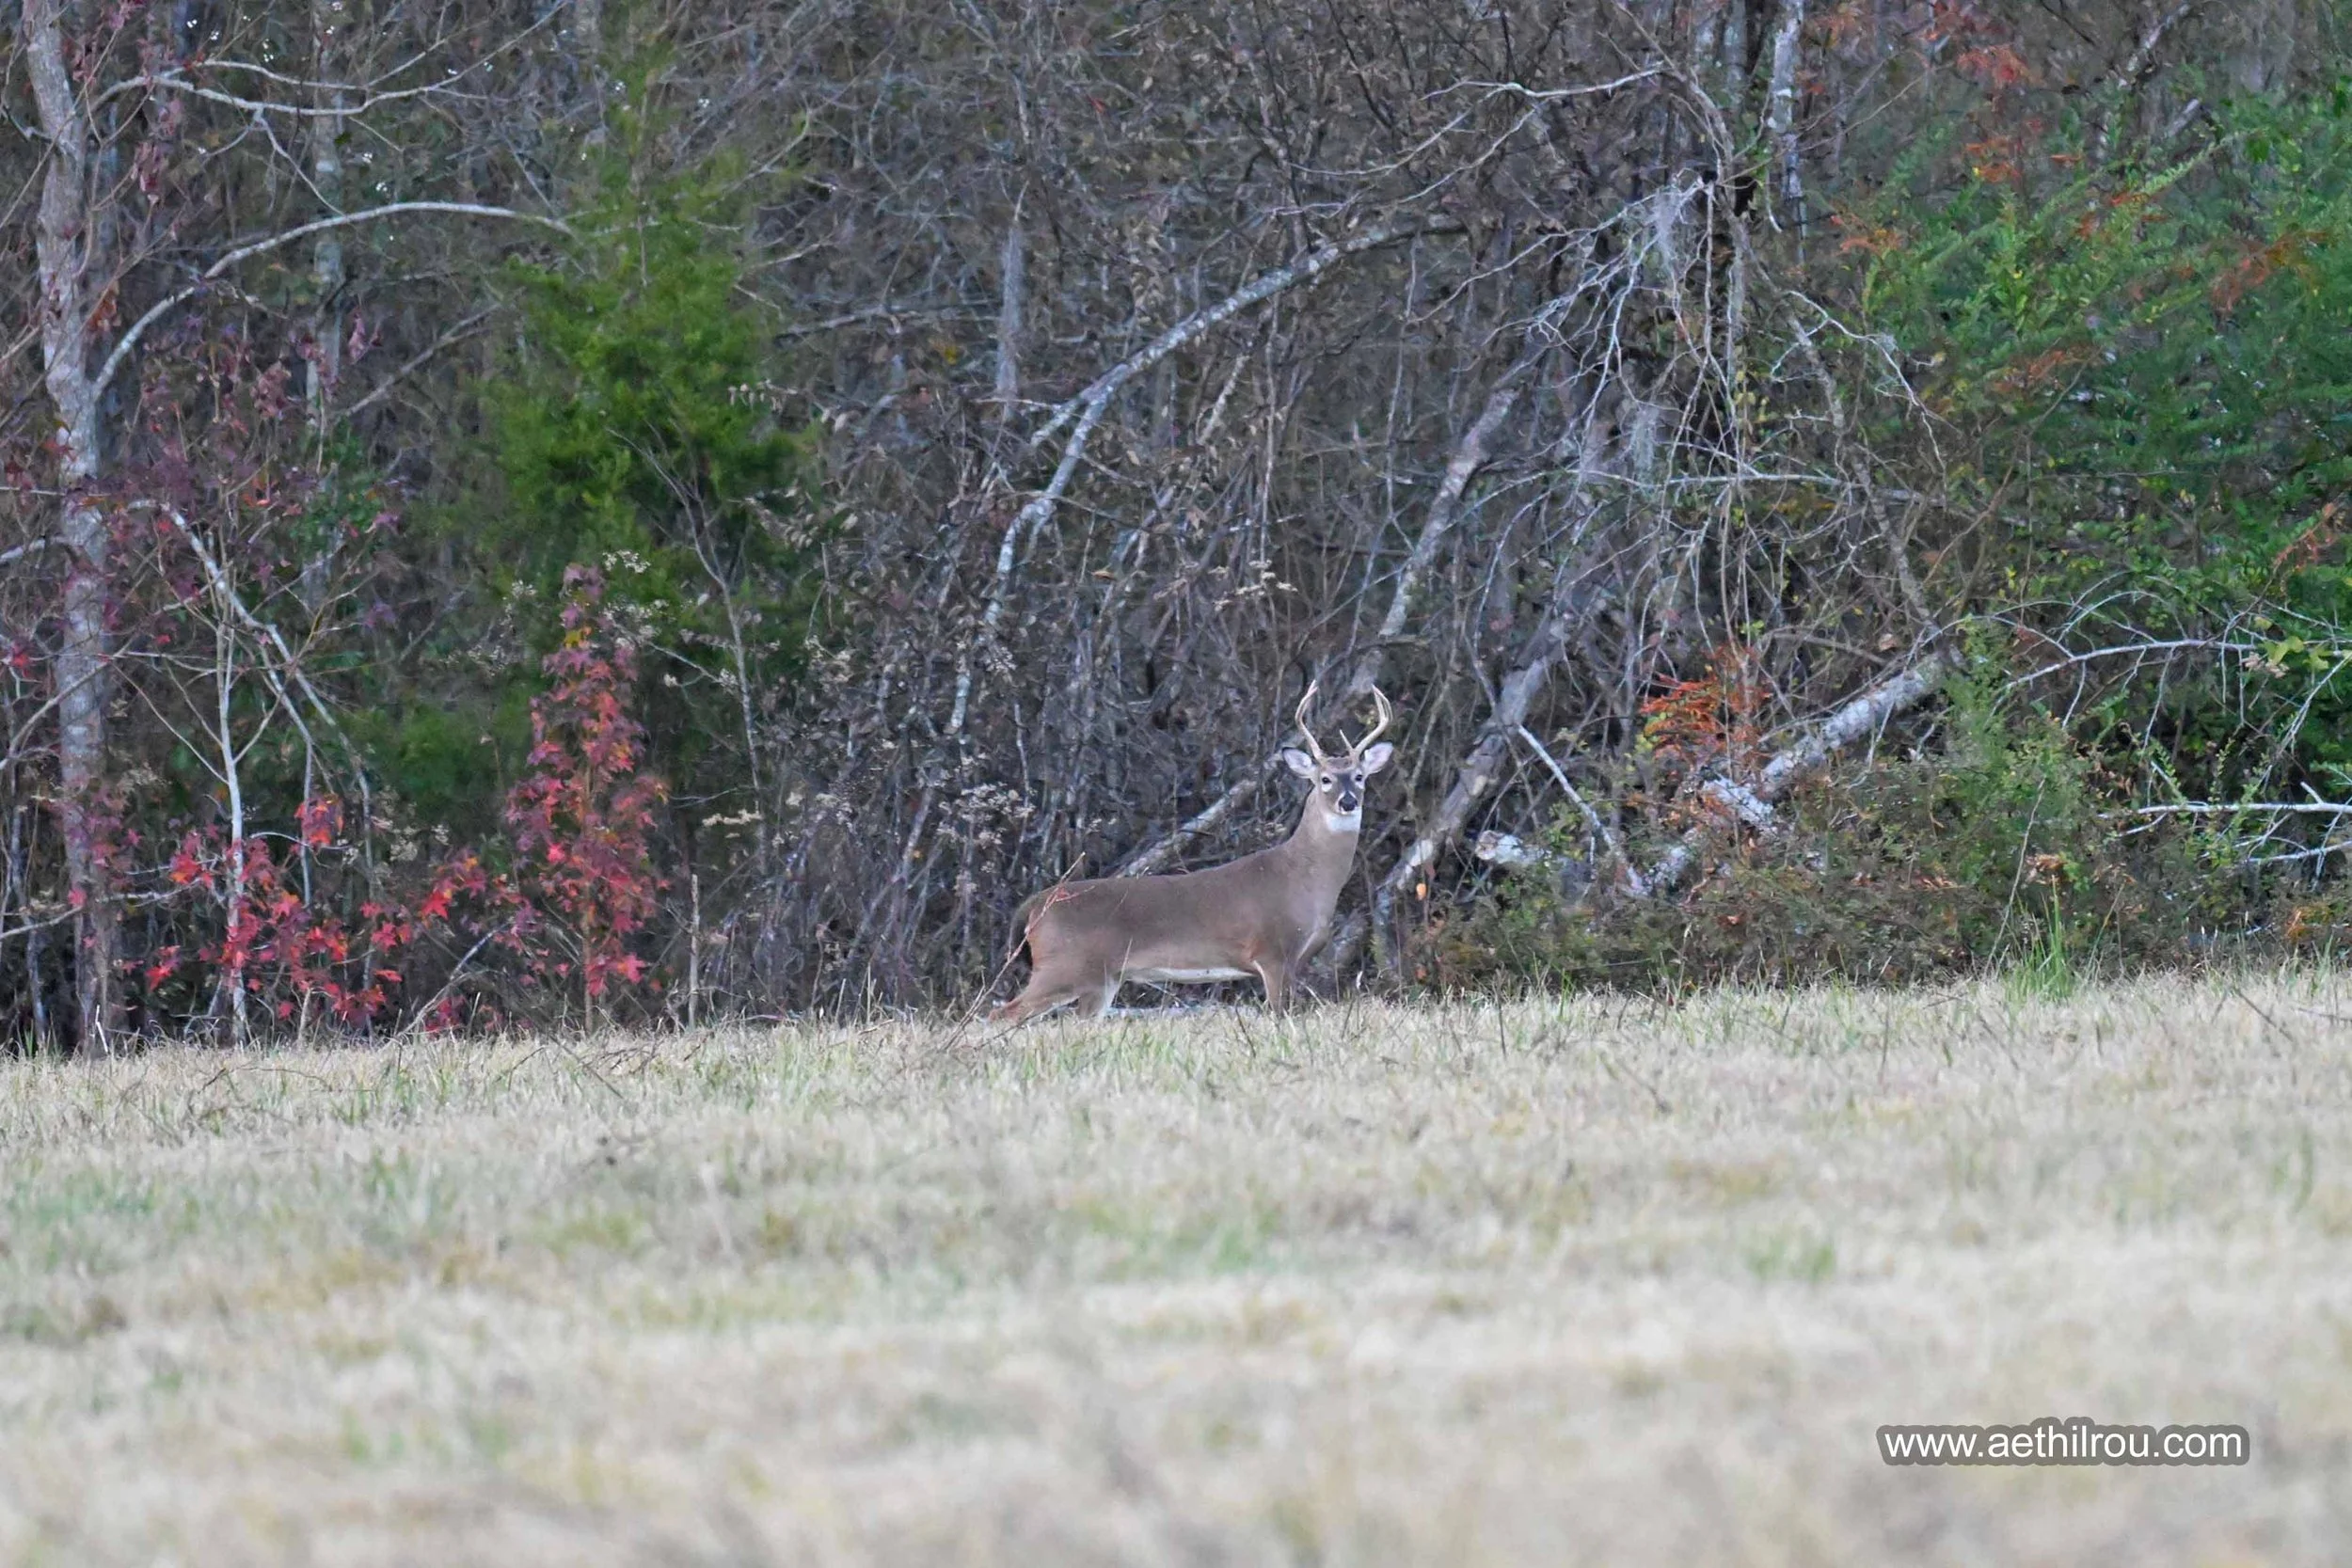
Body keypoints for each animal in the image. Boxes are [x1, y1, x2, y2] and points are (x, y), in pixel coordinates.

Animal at [991, 683, 1395, 1022]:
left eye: (1360, 777)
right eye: (1325, 779)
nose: (1347, 801)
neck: (1304, 878)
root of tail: (1033, 907)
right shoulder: (1272, 949)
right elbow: (1282, 1015)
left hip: (1101, 978)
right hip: (1063, 965)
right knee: (1002, 1012)